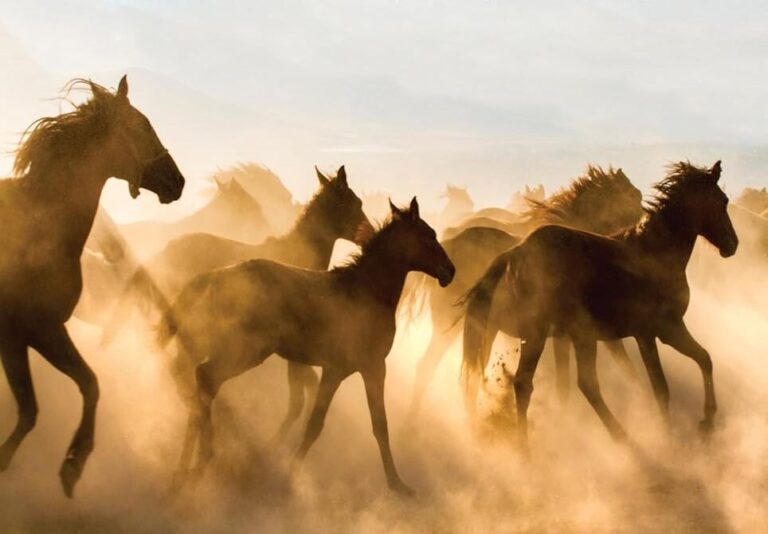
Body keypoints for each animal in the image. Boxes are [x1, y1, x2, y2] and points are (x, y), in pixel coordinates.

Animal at [0, 76, 185, 497]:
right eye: (141, 126)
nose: (177, 181)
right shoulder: (39, 331)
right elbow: (83, 387)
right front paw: (74, 463)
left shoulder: (22, 338)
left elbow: (37, 408)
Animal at [158, 197, 455, 494]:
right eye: (429, 236)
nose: (450, 271)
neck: (365, 292)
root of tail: (219, 274)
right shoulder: (356, 369)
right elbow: (323, 424)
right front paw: (290, 477)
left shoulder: (355, 369)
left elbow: (372, 423)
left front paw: (396, 483)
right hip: (247, 350)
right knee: (205, 377)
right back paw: (202, 461)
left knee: (199, 381)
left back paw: (184, 469)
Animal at [406, 165, 644, 416]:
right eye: (633, 196)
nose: (640, 228)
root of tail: (448, 246)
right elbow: (623, 367)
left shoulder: (563, 335)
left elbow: (565, 384)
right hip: (450, 328)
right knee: (432, 367)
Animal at [462, 161, 737, 448]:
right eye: (723, 200)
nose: (733, 244)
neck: (655, 254)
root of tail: (518, 250)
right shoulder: (658, 331)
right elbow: (663, 385)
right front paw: (673, 432)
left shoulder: (659, 333)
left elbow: (701, 360)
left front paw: (704, 422)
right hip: (550, 334)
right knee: (543, 383)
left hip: (549, 335)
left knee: (565, 383)